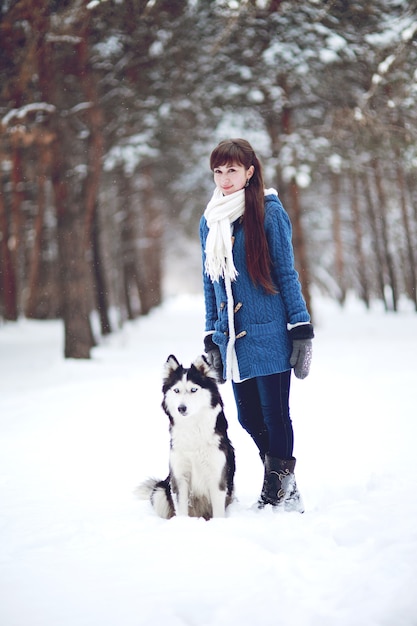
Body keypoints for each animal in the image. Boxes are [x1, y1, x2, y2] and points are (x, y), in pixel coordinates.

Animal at [136, 354, 234, 520]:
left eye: (193, 389)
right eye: (176, 390)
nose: (181, 408)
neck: (193, 427)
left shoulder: (217, 477)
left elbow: (218, 512)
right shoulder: (179, 477)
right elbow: (181, 507)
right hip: (160, 491)